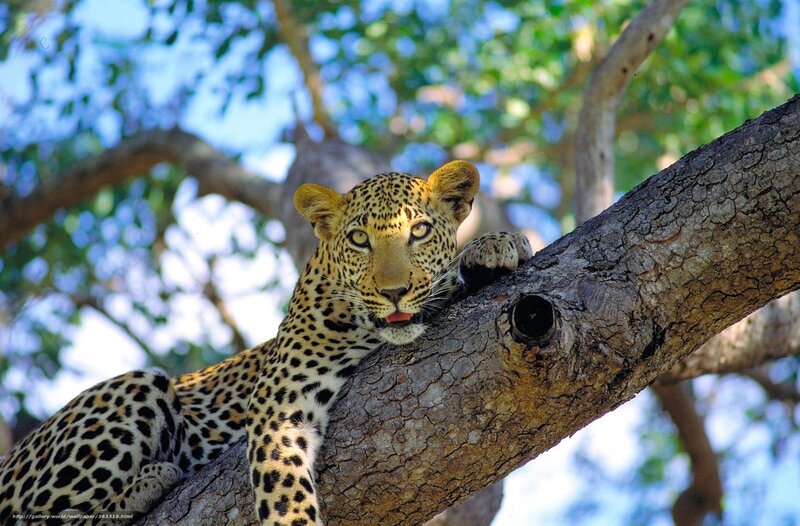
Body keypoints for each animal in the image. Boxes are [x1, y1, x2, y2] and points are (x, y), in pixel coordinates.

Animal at [0, 160, 532, 526]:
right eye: (359, 240)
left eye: (419, 231)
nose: (393, 291)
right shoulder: (281, 402)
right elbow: (284, 490)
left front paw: (496, 245)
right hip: (135, 384)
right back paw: (148, 482)